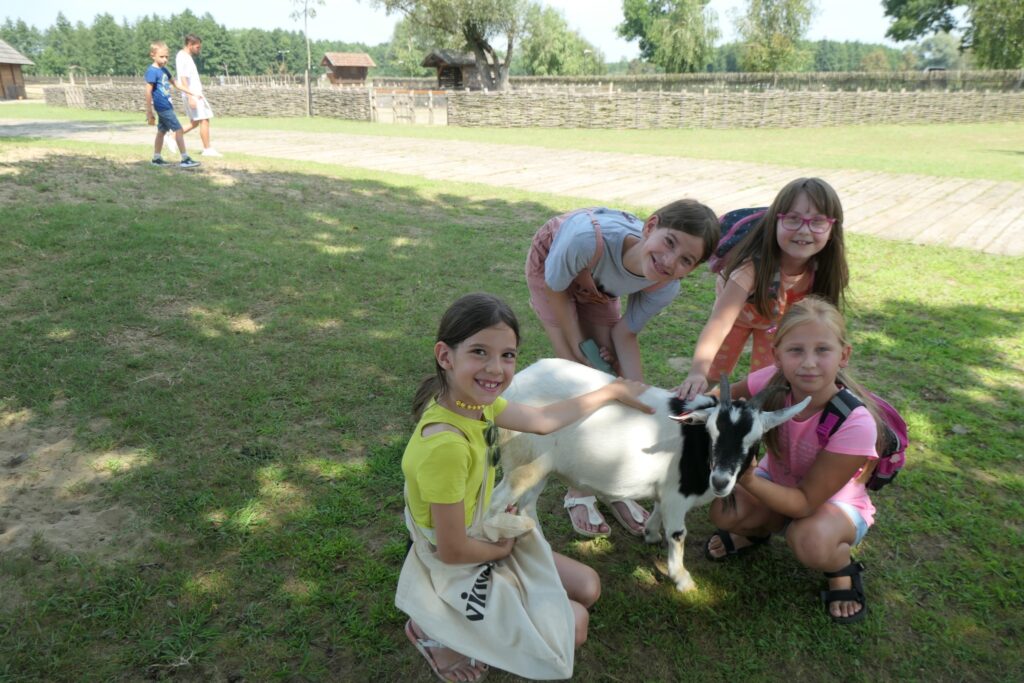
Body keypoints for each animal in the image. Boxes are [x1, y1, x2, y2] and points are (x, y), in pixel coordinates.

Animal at [487, 358, 806, 593]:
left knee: (526, 505)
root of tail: (511, 389)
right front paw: (682, 579)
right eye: (712, 431)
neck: (698, 447)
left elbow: (657, 510)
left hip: (540, 467)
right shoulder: (678, 496)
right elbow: (678, 533)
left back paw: (541, 546)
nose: (720, 481)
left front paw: (650, 534)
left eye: (754, 440)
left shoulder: (665, 490)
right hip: (522, 462)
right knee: (495, 502)